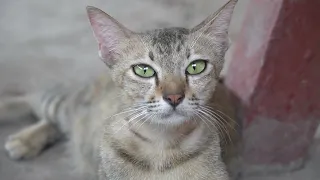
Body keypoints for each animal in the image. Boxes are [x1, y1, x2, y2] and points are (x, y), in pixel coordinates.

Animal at [1, 0, 238, 179]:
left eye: (196, 67)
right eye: (143, 70)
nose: (174, 97)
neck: (162, 147)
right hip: (66, 104)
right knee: (35, 98)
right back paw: (20, 133)